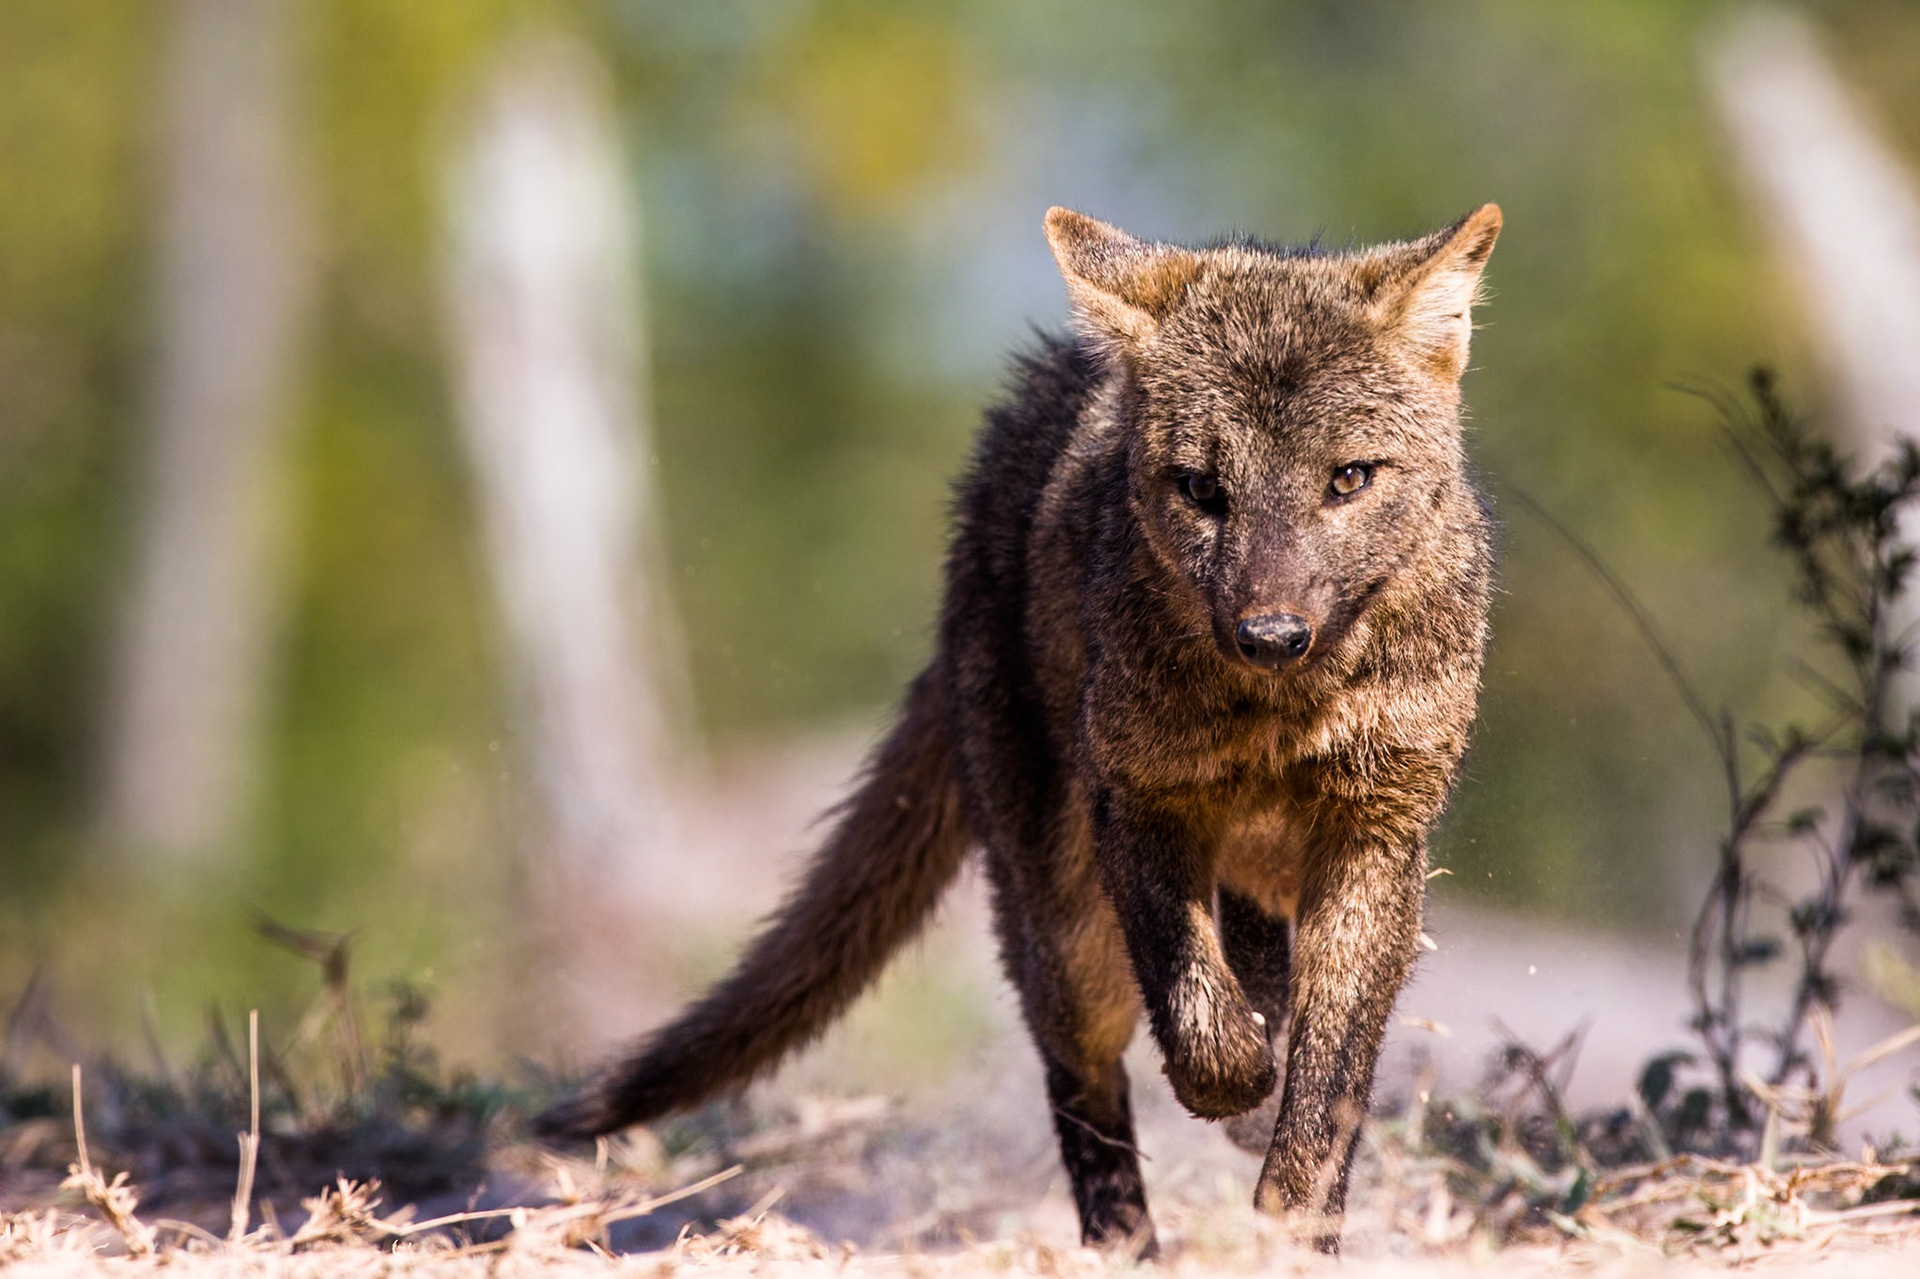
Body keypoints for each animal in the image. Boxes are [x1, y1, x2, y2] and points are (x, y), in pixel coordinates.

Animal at [536, 203, 1502, 1256]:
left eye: (1349, 480)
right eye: (1203, 489)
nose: (1271, 635)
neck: (1279, 719)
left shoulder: (1375, 835)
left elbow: (1324, 1094)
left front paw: (1292, 1226)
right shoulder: (1138, 799)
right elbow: (1200, 1024)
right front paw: (1236, 1087)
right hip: (1065, 928)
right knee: (1084, 1075)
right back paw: (1125, 1247)